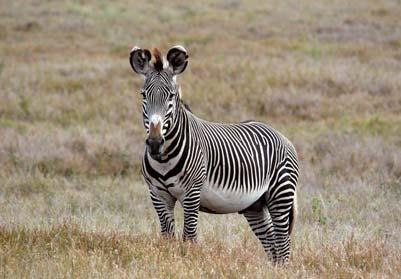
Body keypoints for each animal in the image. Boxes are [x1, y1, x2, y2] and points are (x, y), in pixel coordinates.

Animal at [130, 46, 298, 264]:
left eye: (171, 96)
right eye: (143, 95)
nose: (155, 142)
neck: (164, 159)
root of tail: (281, 135)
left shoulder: (191, 194)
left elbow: (189, 237)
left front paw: (188, 263)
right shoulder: (158, 195)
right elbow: (167, 238)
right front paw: (169, 261)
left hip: (280, 195)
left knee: (283, 243)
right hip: (255, 205)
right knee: (272, 244)